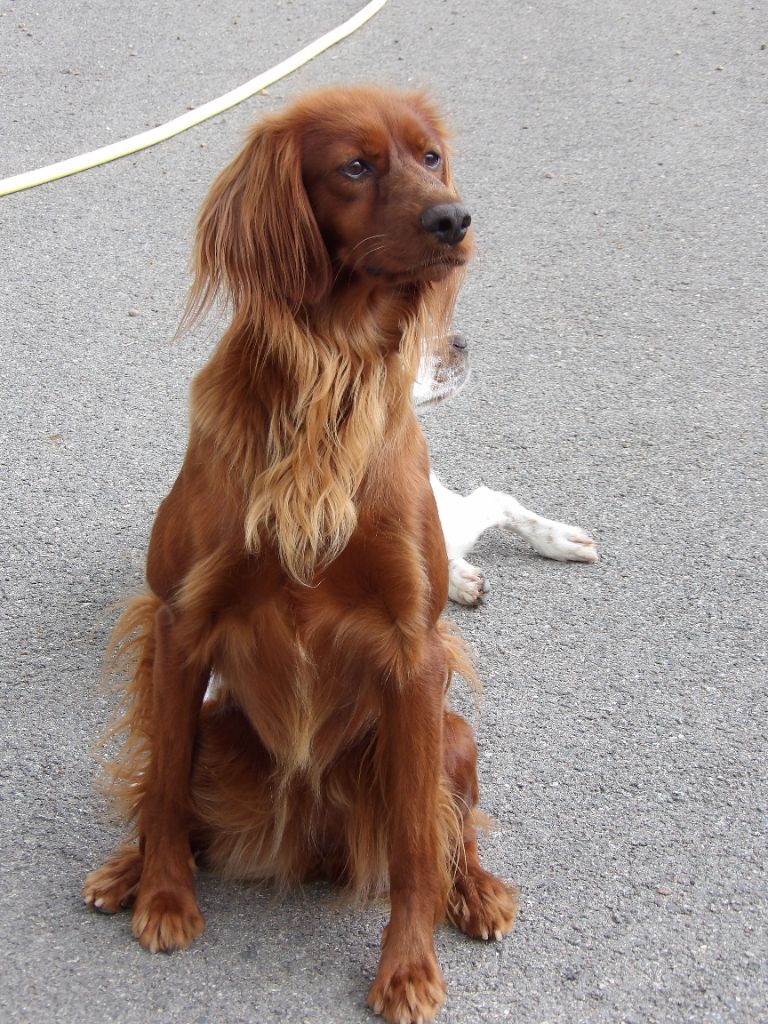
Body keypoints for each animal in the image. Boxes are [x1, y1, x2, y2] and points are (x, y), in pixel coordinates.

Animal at [83, 86, 518, 1023]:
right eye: (354, 166)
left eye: (431, 157)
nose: (454, 218)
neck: (330, 375)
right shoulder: (178, 620)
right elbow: (161, 782)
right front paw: (163, 899)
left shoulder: (415, 649)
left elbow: (417, 846)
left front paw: (408, 970)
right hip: (218, 725)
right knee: (164, 780)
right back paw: (129, 870)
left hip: (452, 733)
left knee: (449, 829)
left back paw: (478, 892)